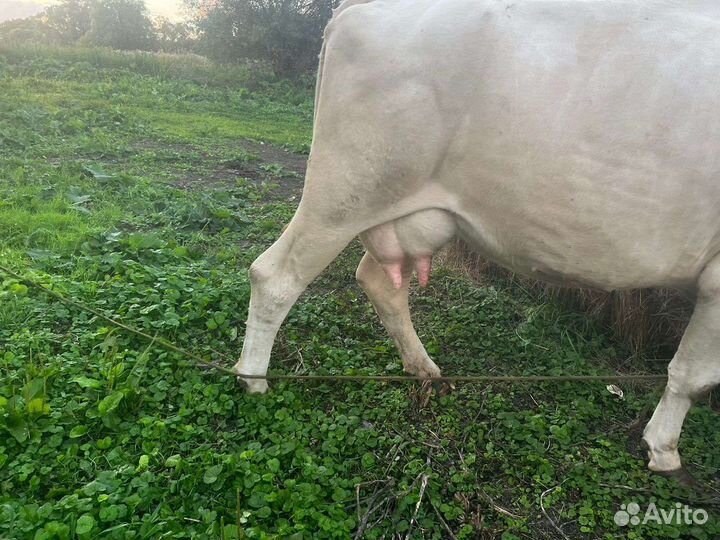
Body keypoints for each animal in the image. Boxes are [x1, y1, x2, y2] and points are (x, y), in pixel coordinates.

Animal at [234, 0, 720, 481]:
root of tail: (356, 10)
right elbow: (693, 375)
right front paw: (663, 449)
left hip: (411, 212)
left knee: (377, 280)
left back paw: (423, 368)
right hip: (345, 191)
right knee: (275, 275)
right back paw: (252, 378)